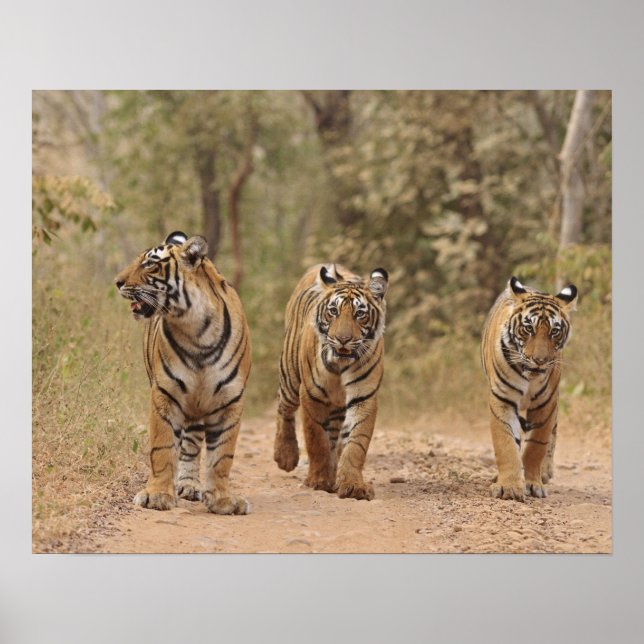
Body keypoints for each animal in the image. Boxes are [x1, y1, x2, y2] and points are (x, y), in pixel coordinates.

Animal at [115, 231, 251, 515]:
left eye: (149, 264)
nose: (117, 282)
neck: (196, 329)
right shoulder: (165, 394)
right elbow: (163, 447)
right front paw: (156, 495)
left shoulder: (230, 400)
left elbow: (222, 456)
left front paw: (222, 499)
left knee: (191, 446)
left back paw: (189, 485)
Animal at [273, 263, 388, 501]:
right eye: (333, 311)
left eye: (359, 314)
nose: (343, 339)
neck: (340, 366)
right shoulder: (311, 395)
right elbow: (316, 439)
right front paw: (319, 480)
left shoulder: (363, 397)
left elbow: (355, 443)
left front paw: (352, 485)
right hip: (290, 377)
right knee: (283, 408)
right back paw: (285, 455)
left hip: (336, 406)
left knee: (335, 437)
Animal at [481, 276, 578, 502]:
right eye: (528, 329)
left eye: (554, 331)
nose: (539, 360)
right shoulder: (503, 399)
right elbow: (506, 443)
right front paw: (508, 486)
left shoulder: (547, 404)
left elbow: (536, 446)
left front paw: (533, 484)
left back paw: (545, 472)